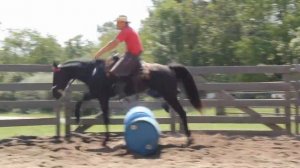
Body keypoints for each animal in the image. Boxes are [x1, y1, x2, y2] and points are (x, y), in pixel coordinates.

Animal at [51, 56, 202, 146]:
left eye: (56, 75)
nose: (54, 93)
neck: (93, 72)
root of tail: (169, 68)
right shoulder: (95, 94)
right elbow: (80, 101)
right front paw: (77, 118)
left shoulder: (102, 97)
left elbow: (105, 117)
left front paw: (106, 139)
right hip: (167, 94)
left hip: (170, 95)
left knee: (182, 112)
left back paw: (189, 138)